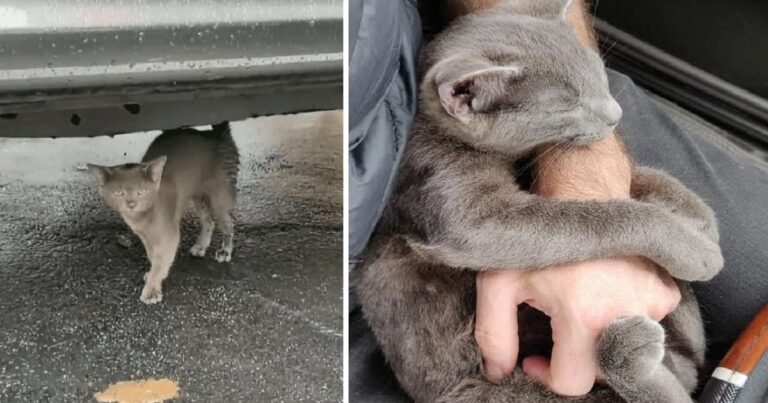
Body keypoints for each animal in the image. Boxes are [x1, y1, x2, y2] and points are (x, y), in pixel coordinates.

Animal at [87, 121, 238, 304]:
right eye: (119, 193)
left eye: (141, 191)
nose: (131, 204)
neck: (144, 217)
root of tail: (215, 135)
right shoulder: (145, 236)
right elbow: (153, 255)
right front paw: (151, 274)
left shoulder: (169, 234)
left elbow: (161, 259)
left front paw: (152, 289)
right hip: (197, 195)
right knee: (209, 222)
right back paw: (201, 246)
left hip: (218, 194)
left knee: (228, 222)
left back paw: (225, 251)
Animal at [354, 1, 728, 402]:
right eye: (568, 105)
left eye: (599, 75)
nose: (616, 115)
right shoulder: (452, 200)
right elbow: (595, 218)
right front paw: (691, 248)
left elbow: (641, 177)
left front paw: (698, 215)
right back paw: (629, 353)